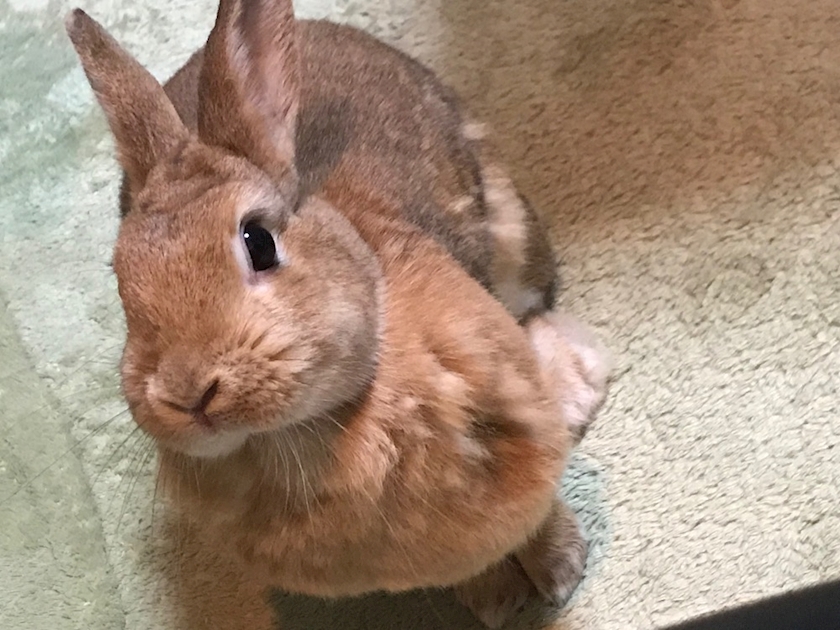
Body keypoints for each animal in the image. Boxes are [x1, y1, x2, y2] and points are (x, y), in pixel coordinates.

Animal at [65, 0, 610, 627]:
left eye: (258, 241)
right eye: (121, 282)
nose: (187, 394)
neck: (310, 430)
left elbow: (534, 511)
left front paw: (560, 569)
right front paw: (496, 599)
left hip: (511, 231)